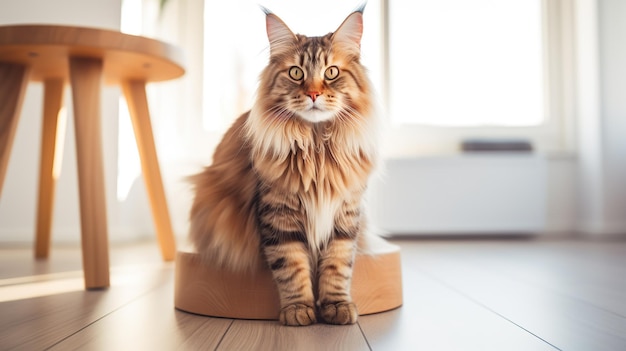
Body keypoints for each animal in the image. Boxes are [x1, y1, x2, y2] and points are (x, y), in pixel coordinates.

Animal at [188, 6, 378, 328]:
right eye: (296, 73)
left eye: (331, 72)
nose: (313, 94)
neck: (318, 150)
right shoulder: (279, 214)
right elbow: (291, 266)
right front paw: (299, 310)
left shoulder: (346, 214)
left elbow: (338, 265)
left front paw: (337, 306)